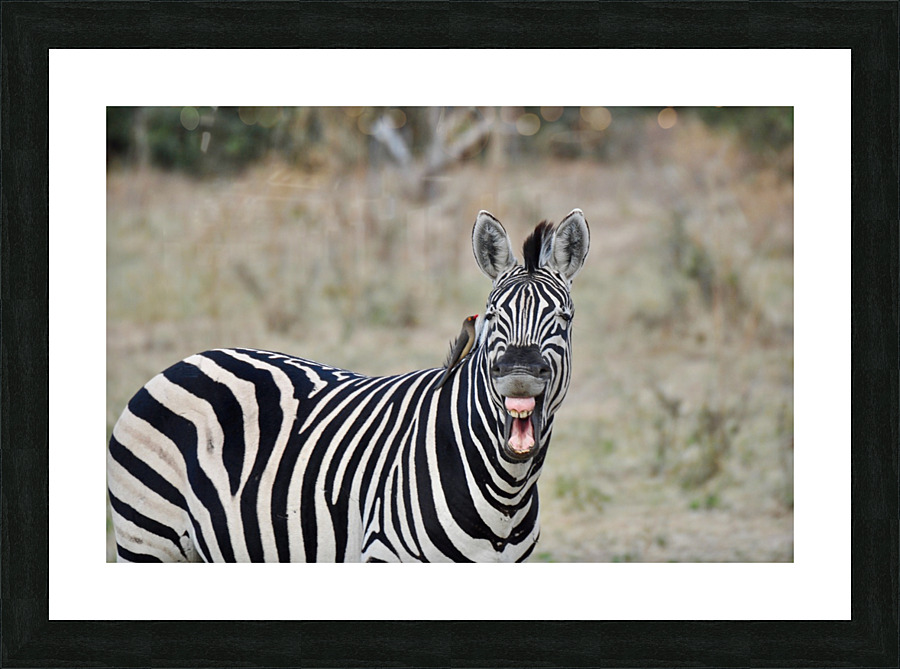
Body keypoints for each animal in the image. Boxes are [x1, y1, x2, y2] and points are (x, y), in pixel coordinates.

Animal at [107, 209, 590, 562]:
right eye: (493, 316)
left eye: (563, 319)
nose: (518, 373)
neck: (506, 495)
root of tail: (184, 361)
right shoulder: (383, 553)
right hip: (147, 539)